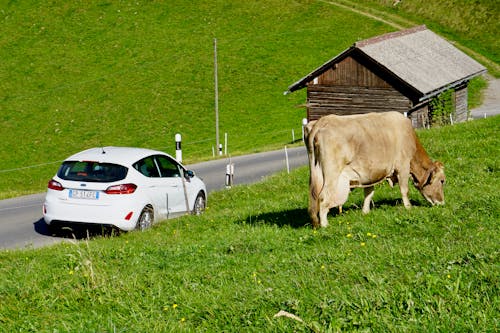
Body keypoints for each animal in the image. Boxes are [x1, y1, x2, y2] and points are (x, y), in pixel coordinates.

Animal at [304, 110, 446, 227]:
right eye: (442, 181)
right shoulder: (403, 166)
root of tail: (322, 121)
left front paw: (365, 212)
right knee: (323, 197)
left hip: (316, 172)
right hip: (332, 173)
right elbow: (404, 190)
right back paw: (325, 225)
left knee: (315, 197)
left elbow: (369, 193)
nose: (442, 203)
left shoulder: (369, 174)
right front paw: (408, 208)